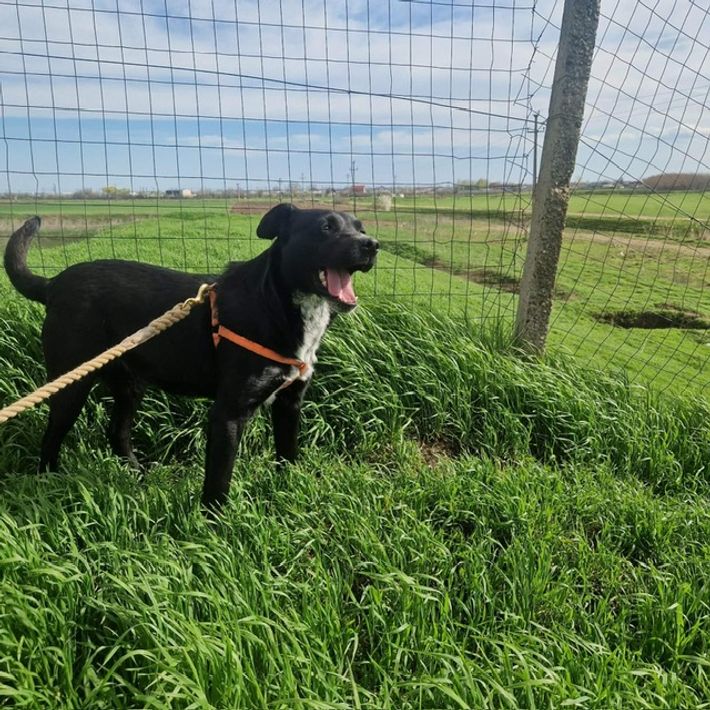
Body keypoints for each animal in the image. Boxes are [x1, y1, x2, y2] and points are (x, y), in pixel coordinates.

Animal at [4, 204, 378, 507]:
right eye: (325, 227)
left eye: (360, 227)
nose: (373, 244)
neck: (276, 300)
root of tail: (53, 284)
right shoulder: (227, 414)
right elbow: (218, 482)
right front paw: (216, 531)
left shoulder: (290, 404)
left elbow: (287, 458)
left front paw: (287, 499)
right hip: (70, 383)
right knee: (52, 437)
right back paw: (49, 484)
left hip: (128, 384)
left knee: (117, 432)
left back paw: (139, 478)